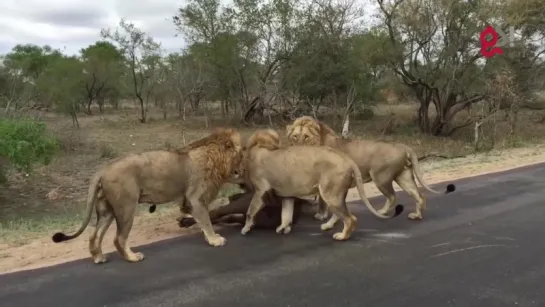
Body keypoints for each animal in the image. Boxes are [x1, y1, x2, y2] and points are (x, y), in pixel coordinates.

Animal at [51, 129, 242, 266]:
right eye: (241, 154)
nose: (243, 169)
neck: (216, 159)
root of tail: (103, 169)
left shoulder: (190, 202)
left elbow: (202, 220)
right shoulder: (196, 198)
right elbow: (206, 221)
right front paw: (215, 239)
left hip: (107, 210)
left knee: (95, 236)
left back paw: (99, 258)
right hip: (126, 207)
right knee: (118, 238)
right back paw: (132, 257)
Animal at [239, 129, 404, 242]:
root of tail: (347, 159)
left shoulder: (261, 190)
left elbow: (250, 211)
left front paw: (246, 228)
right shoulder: (288, 196)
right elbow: (286, 214)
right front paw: (283, 228)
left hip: (329, 193)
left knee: (350, 218)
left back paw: (342, 236)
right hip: (335, 193)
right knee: (340, 214)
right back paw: (327, 226)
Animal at [284, 116, 454, 221]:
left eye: (306, 137)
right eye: (295, 136)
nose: (296, 149)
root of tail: (402, 145)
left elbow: (321, 201)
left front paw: (321, 216)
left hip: (380, 177)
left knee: (393, 196)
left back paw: (382, 212)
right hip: (403, 176)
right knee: (419, 195)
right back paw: (416, 215)